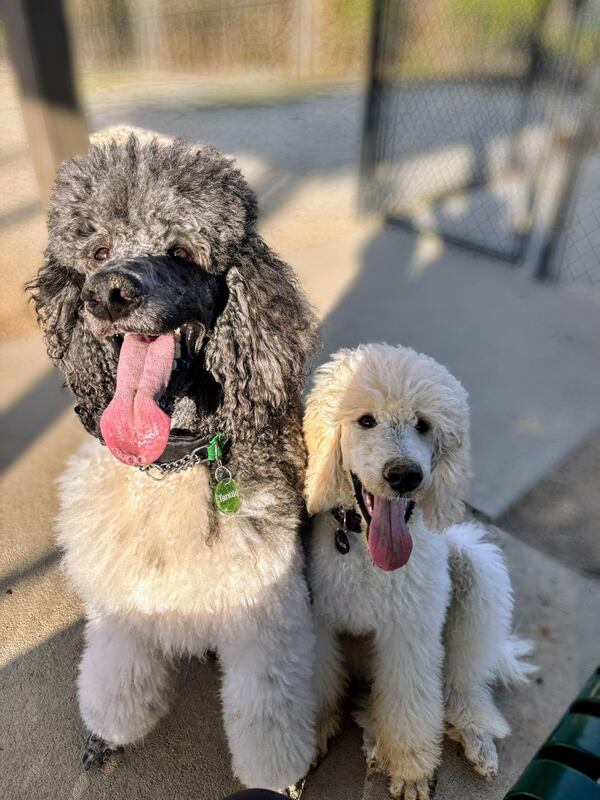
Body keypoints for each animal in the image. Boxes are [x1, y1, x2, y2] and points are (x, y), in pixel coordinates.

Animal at [27, 135, 319, 791]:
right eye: (98, 250)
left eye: (182, 251)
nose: (108, 292)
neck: (172, 466)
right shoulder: (123, 600)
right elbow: (117, 676)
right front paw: (108, 734)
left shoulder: (263, 609)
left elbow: (267, 708)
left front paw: (278, 777)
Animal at [303, 344, 533, 800]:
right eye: (366, 420)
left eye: (424, 425)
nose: (404, 476)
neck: (365, 551)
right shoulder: (318, 624)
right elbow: (318, 683)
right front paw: (312, 737)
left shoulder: (409, 632)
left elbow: (411, 699)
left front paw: (411, 769)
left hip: (475, 570)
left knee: (462, 684)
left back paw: (475, 736)